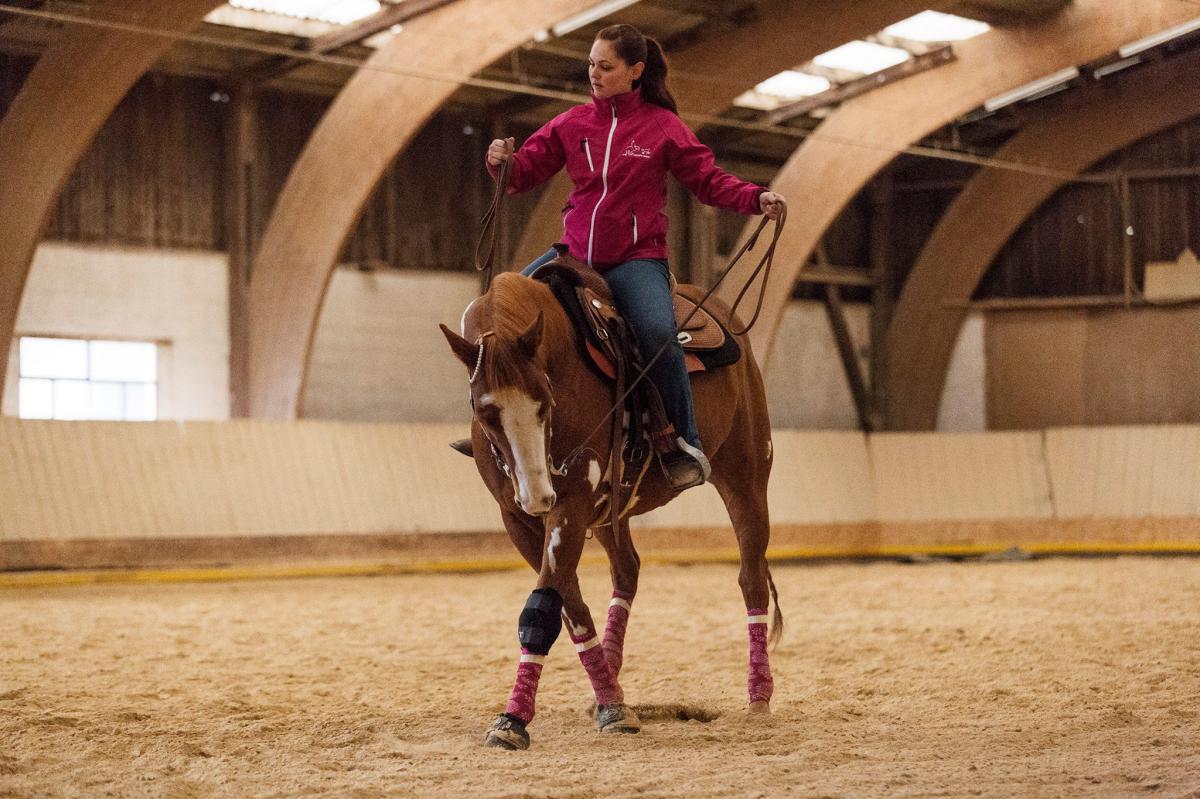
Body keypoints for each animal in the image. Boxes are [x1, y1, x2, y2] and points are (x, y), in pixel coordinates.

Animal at [441, 268, 777, 748]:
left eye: (545, 399)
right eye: (485, 412)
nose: (538, 495)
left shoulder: (571, 505)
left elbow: (542, 606)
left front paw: (514, 718)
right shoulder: (518, 520)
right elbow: (569, 609)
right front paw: (609, 702)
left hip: (746, 476)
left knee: (751, 579)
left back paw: (759, 696)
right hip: (609, 513)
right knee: (627, 570)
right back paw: (612, 676)